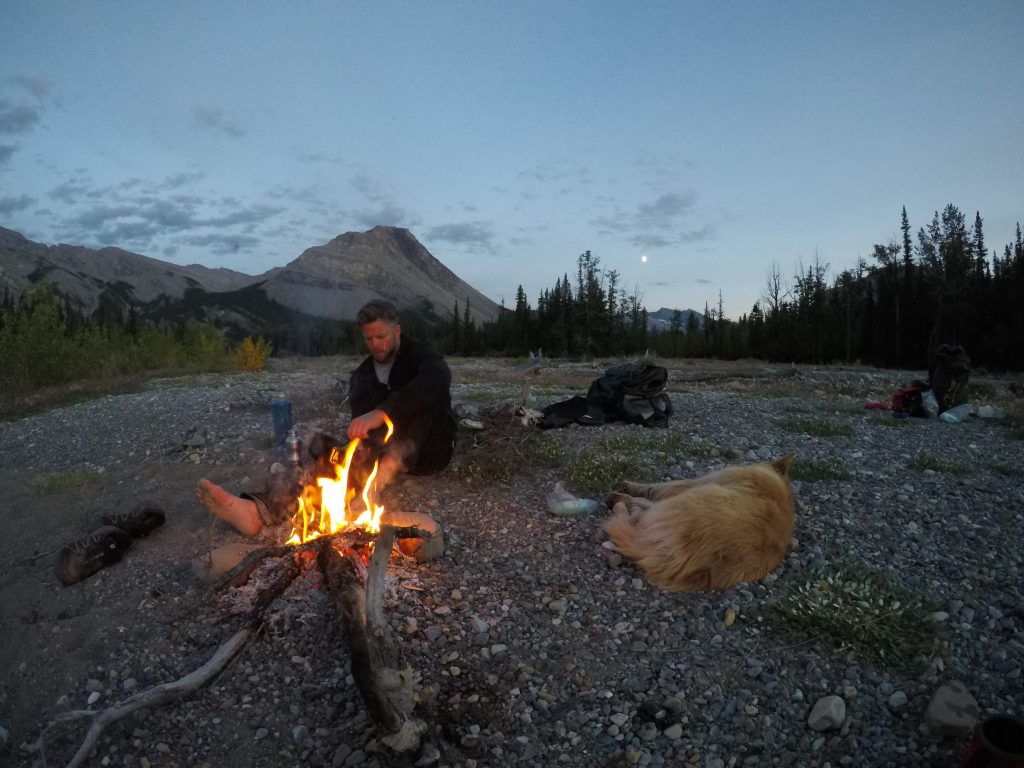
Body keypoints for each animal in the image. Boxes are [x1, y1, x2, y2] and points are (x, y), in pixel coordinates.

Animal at [602, 456, 794, 593]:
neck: (778, 482)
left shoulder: (697, 482)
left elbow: (660, 486)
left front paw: (630, 488)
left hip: (696, 494)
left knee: (636, 515)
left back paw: (622, 502)